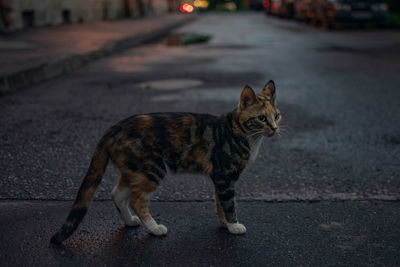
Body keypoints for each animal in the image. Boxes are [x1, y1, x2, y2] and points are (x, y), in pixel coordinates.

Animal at [50, 80, 282, 245]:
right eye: (261, 118)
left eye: (277, 116)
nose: (274, 128)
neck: (245, 135)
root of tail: (112, 129)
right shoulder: (225, 176)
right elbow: (229, 203)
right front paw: (234, 226)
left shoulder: (220, 178)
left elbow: (219, 203)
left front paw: (225, 224)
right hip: (152, 169)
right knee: (137, 200)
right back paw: (155, 229)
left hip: (134, 169)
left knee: (117, 194)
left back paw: (130, 221)